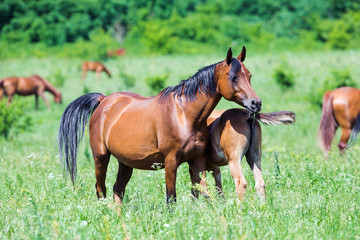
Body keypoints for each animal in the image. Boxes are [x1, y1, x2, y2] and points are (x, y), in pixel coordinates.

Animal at [58, 47, 262, 204]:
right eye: (233, 77)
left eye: (249, 75)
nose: (256, 103)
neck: (184, 114)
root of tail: (104, 100)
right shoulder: (171, 162)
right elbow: (171, 198)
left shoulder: (197, 161)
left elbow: (203, 193)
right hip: (100, 157)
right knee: (101, 189)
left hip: (125, 163)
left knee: (118, 189)